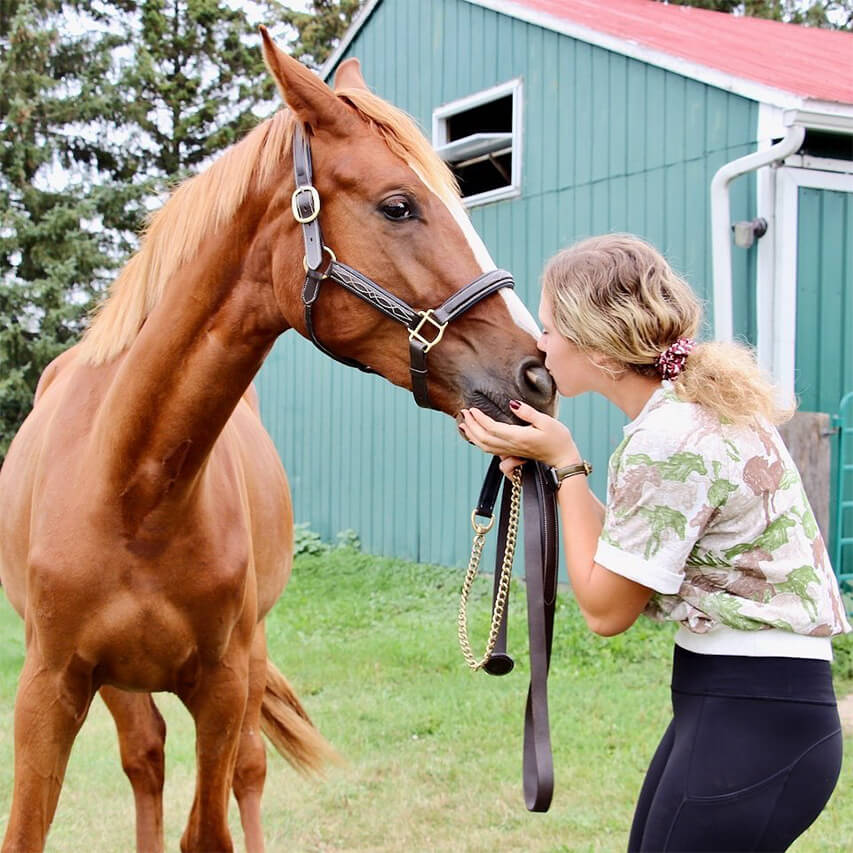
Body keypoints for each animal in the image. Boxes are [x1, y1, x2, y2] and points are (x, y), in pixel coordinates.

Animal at [0, 26, 552, 852]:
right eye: (398, 206)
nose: (535, 371)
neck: (133, 487)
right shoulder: (48, 687)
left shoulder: (224, 684)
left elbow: (212, 826)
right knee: (146, 758)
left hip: (246, 658)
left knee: (246, 771)